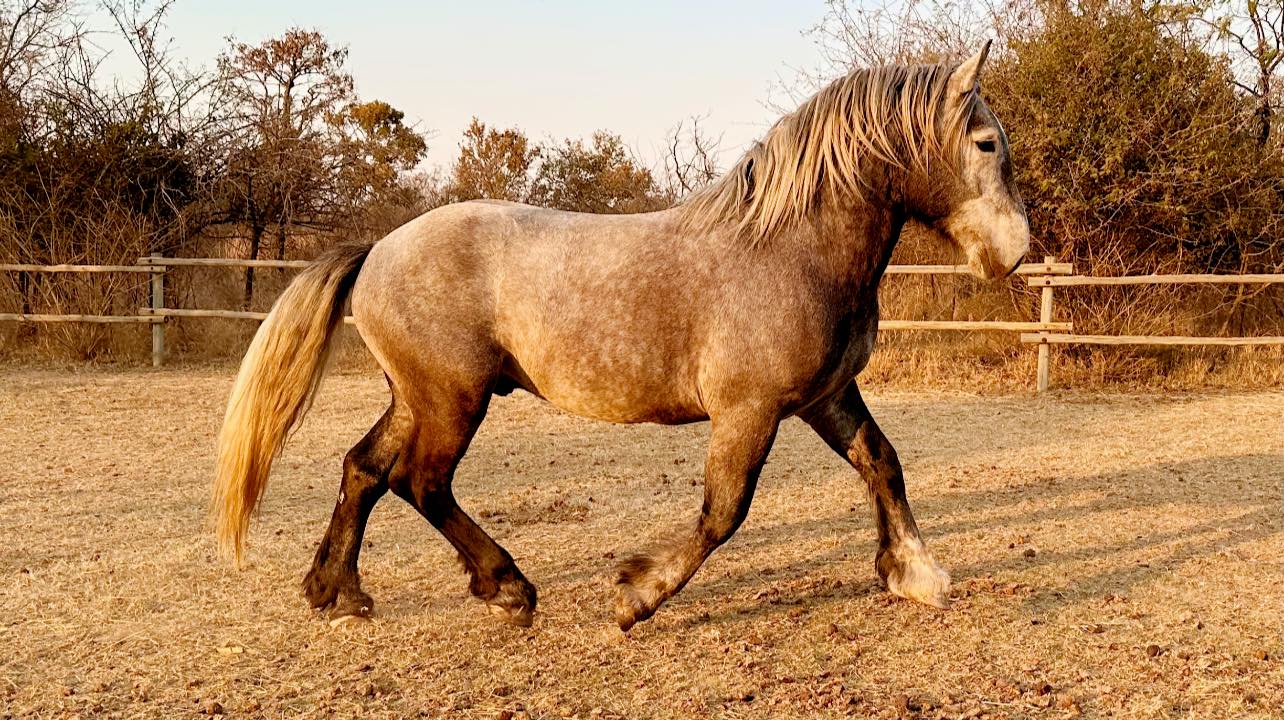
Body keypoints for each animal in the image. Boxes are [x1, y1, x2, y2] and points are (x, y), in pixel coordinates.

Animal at [215, 43, 1027, 628]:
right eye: (987, 143)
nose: (1015, 252)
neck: (789, 247)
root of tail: (379, 248)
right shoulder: (750, 410)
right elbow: (724, 512)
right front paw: (637, 598)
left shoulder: (825, 396)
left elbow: (882, 464)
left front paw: (916, 574)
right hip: (452, 401)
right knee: (422, 482)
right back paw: (508, 588)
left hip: (419, 396)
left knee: (364, 469)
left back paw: (338, 590)